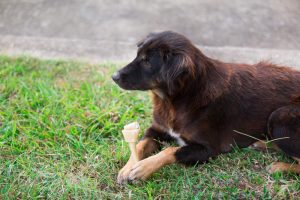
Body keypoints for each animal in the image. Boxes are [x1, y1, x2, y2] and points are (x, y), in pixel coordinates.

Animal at [112, 30, 300, 184]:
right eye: (138, 55)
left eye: (147, 62)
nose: (114, 76)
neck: (176, 99)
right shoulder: (157, 129)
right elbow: (139, 145)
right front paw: (128, 167)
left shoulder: (208, 149)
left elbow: (171, 150)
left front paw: (142, 168)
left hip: (279, 117)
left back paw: (279, 167)